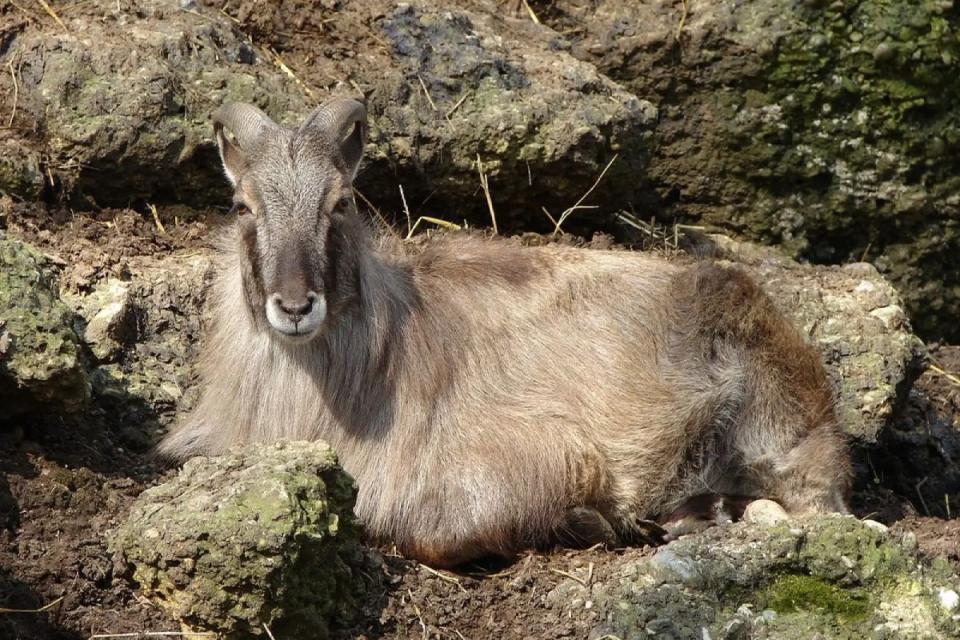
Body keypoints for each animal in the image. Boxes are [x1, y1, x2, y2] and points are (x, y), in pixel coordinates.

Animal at [159, 98, 851, 567]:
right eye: (242, 206)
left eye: (341, 201)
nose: (297, 305)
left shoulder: (535, 457)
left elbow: (433, 535)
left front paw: (592, 520)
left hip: (776, 433)